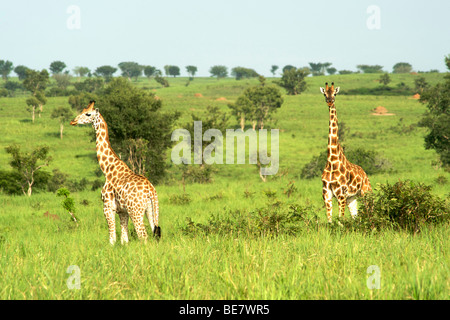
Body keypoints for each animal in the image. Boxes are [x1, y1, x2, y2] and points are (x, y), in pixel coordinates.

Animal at [70, 101, 162, 244]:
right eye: (82, 110)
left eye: (88, 114)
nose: (73, 121)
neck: (107, 170)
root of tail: (151, 190)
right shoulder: (122, 211)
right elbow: (124, 240)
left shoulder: (108, 207)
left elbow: (112, 239)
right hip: (150, 209)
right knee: (155, 233)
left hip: (135, 211)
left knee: (143, 235)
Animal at [320, 82, 372, 222]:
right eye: (325, 94)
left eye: (335, 93)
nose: (330, 101)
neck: (332, 161)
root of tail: (365, 174)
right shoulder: (326, 193)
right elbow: (330, 220)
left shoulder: (341, 194)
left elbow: (340, 219)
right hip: (352, 198)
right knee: (355, 217)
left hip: (365, 192)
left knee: (370, 210)